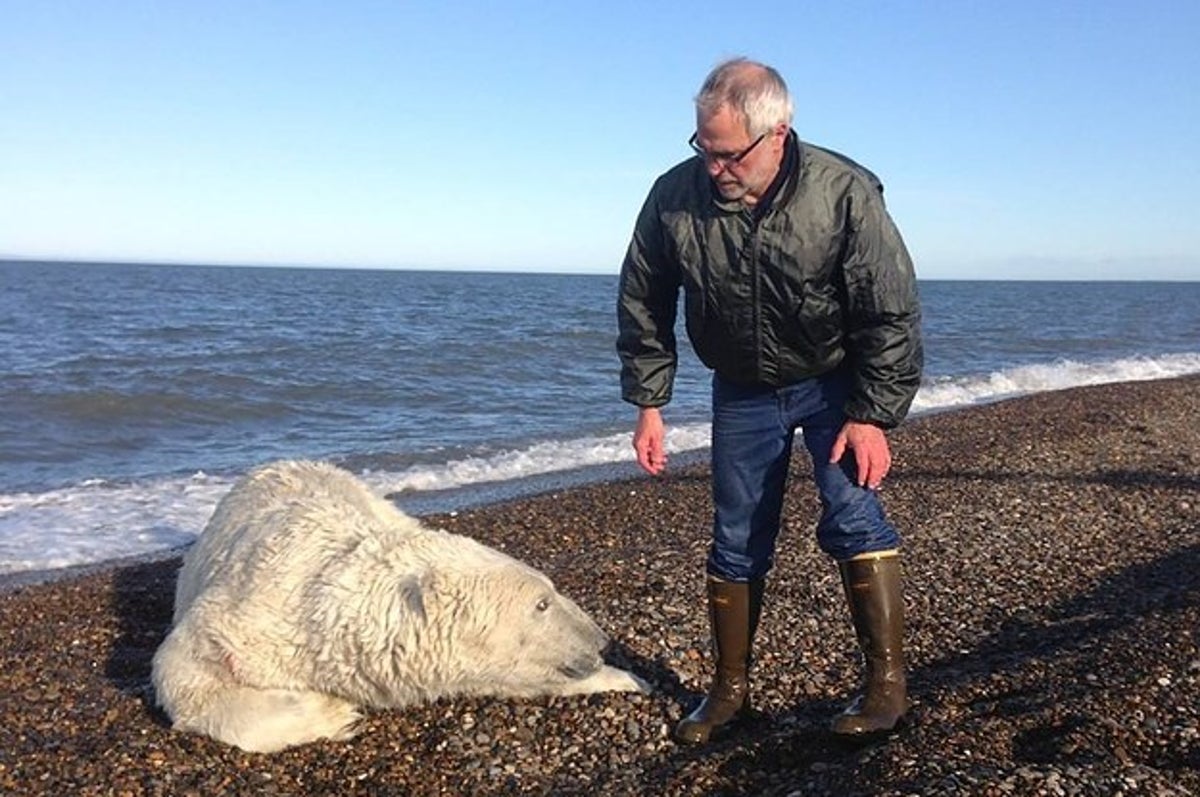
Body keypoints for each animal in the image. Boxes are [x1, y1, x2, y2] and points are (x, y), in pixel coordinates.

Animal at [151, 460, 648, 753]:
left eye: (551, 590)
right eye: (542, 603)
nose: (600, 639)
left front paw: (628, 678)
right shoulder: (248, 615)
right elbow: (181, 670)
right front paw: (334, 711)